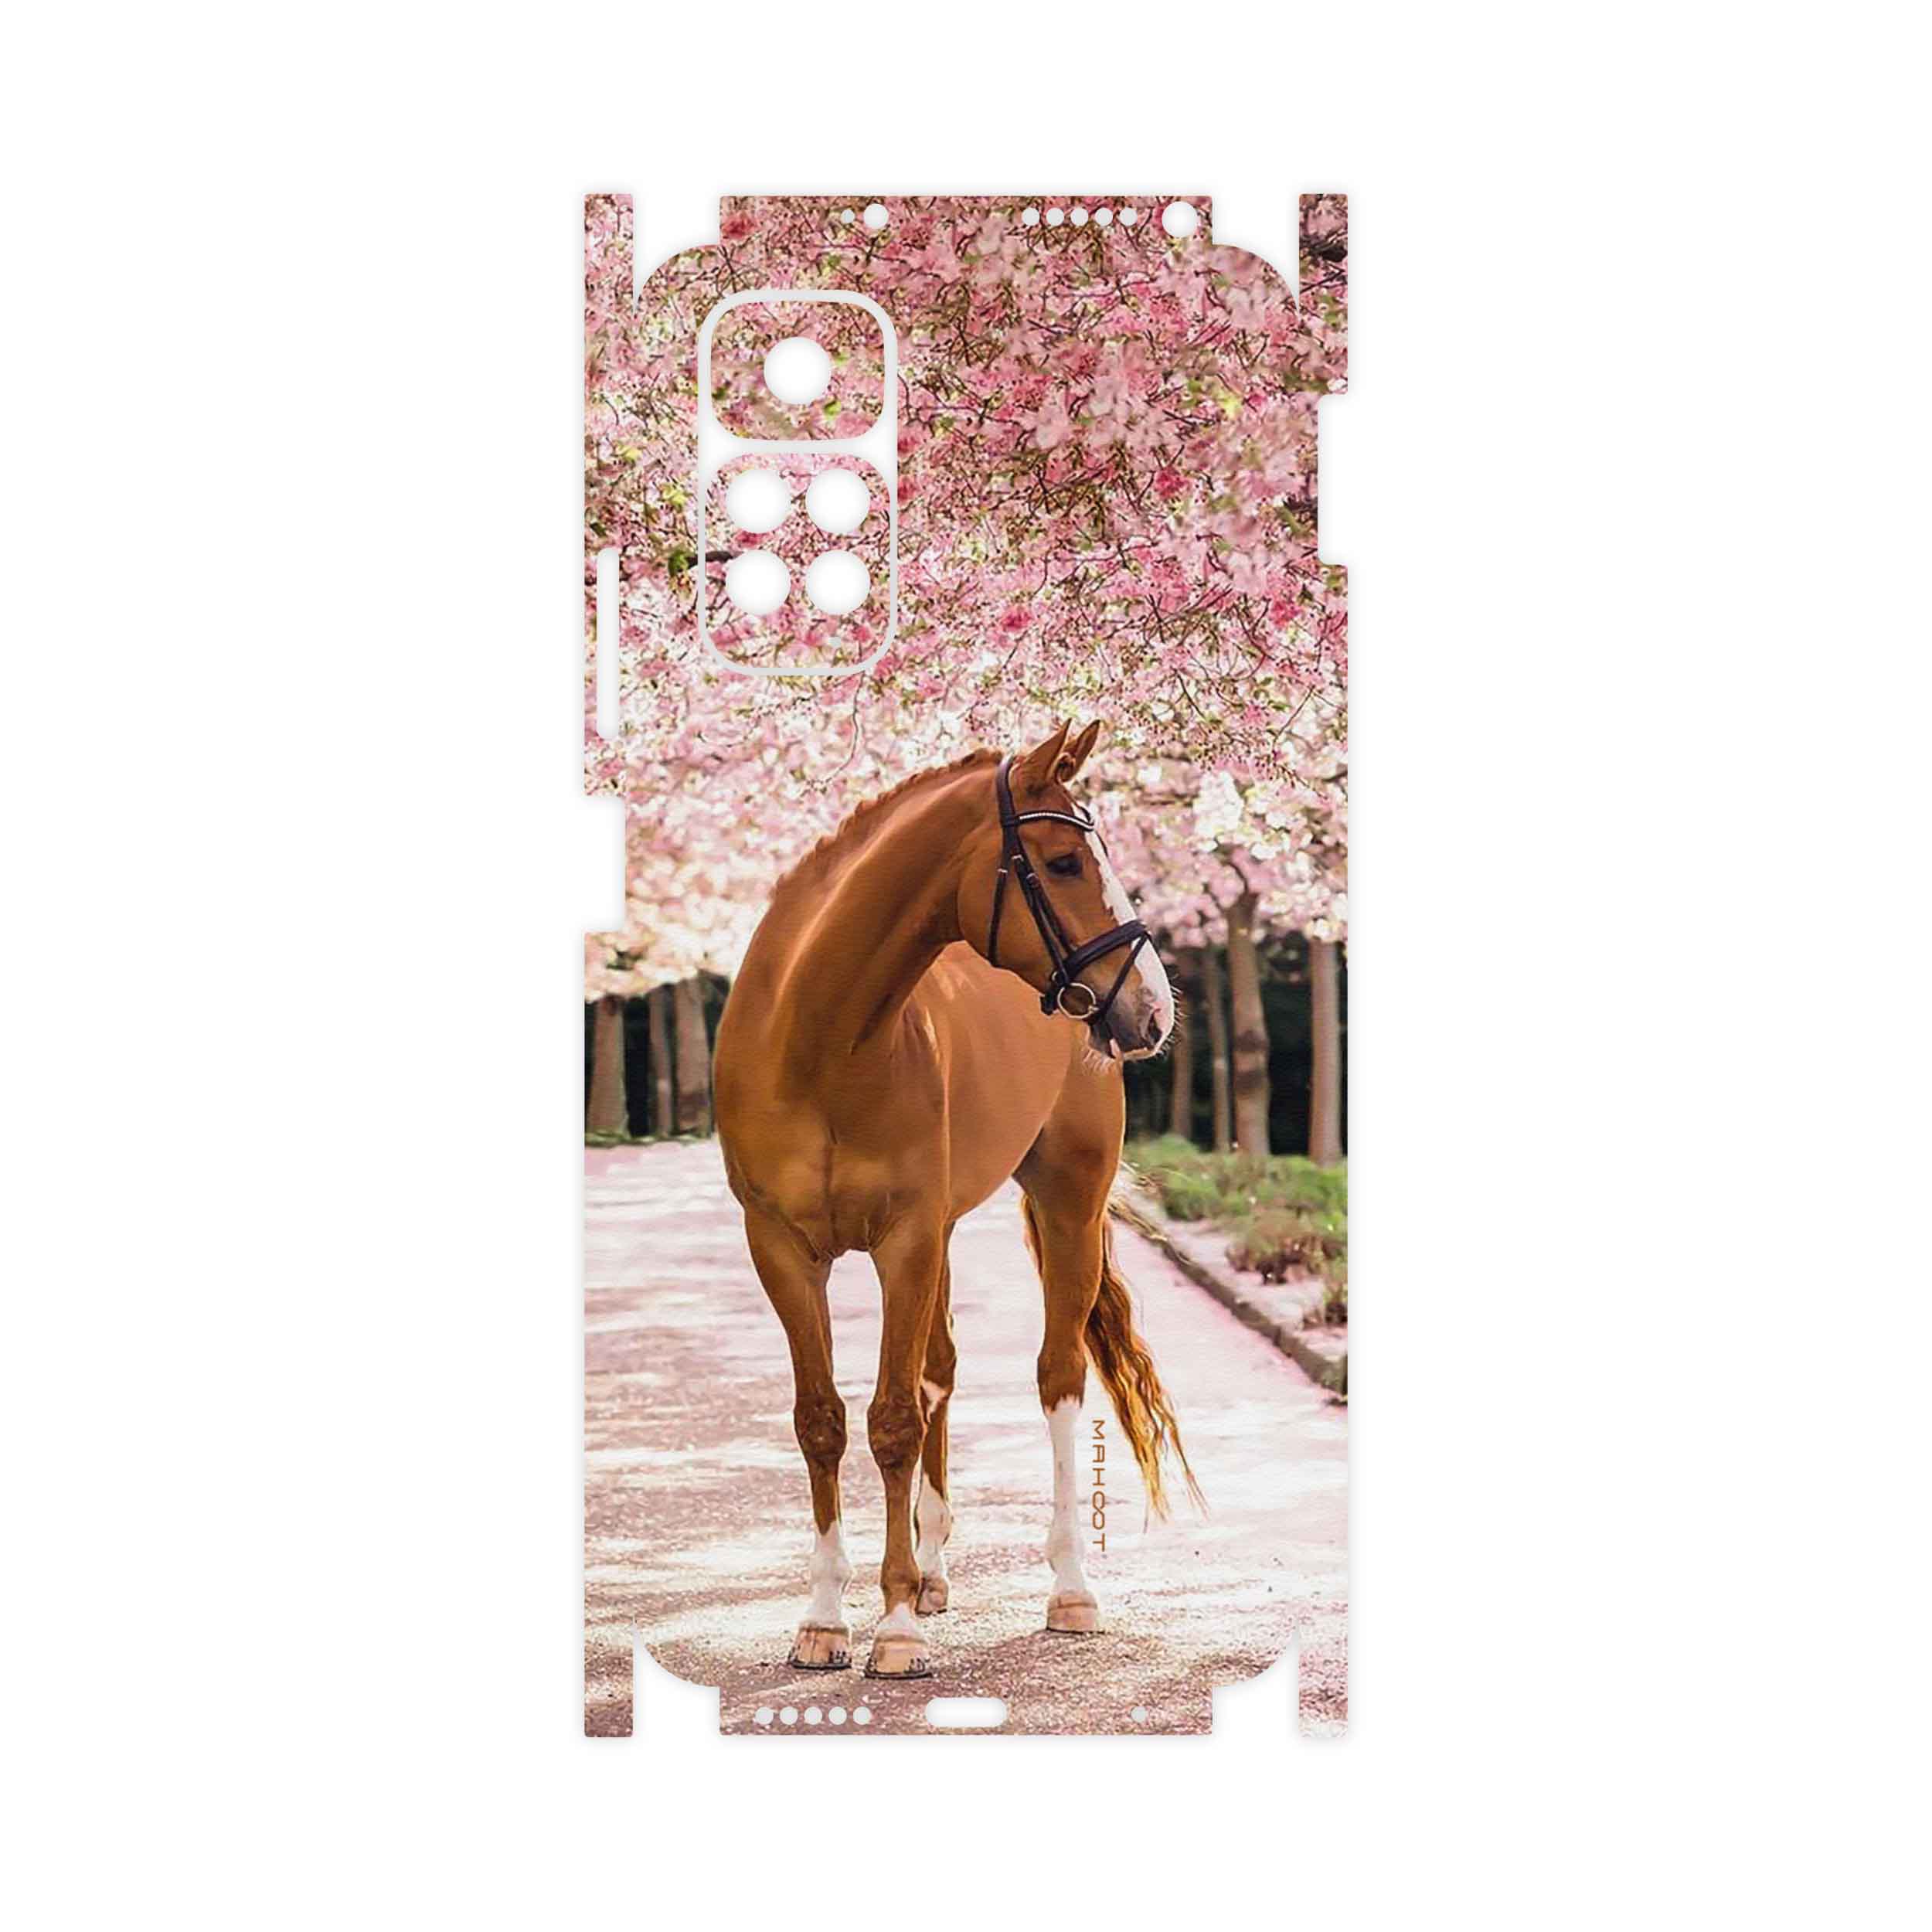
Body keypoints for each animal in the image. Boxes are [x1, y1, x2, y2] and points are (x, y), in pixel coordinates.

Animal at [714, 720, 1197, 1679]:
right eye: (1061, 862)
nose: (1153, 1010)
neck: (818, 1040)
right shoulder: (782, 1248)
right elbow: (822, 1420)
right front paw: (825, 1618)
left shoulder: (904, 1238)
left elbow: (893, 1419)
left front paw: (894, 1628)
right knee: (939, 1370)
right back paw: (934, 1572)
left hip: (1066, 1204)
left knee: (1056, 1377)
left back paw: (1067, 1589)